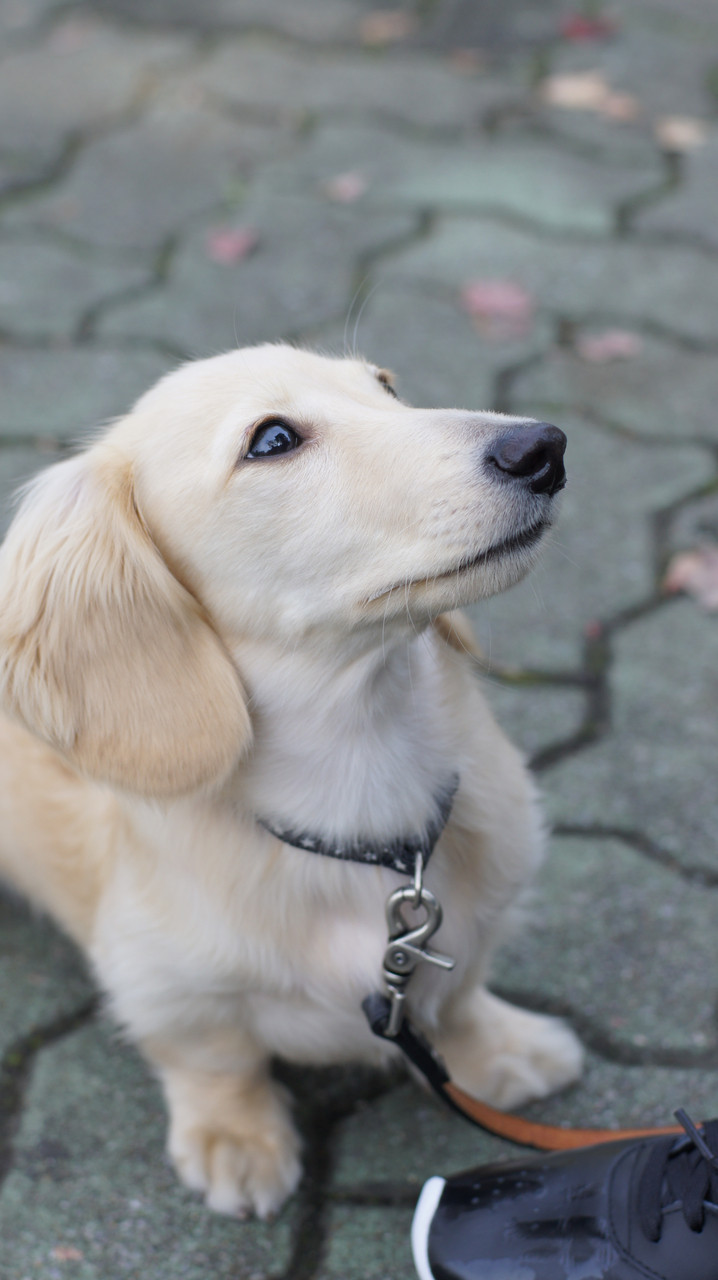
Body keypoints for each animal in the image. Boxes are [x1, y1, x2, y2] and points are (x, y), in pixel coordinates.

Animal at [0, 344, 582, 1218]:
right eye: (272, 440)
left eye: (387, 387)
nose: (542, 447)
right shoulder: (159, 983)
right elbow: (215, 1059)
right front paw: (237, 1139)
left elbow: (461, 994)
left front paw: (502, 1050)